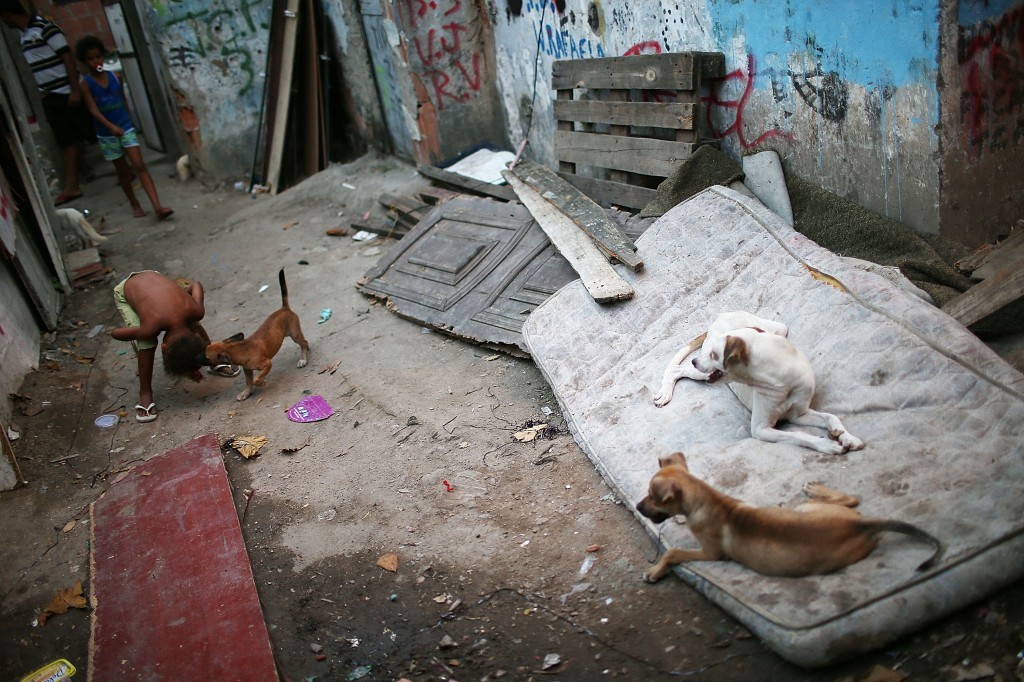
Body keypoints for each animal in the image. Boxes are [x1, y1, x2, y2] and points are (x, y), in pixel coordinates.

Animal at [204, 268, 309, 401]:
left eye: (207, 357)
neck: (237, 349)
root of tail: (284, 308)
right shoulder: (247, 370)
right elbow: (249, 382)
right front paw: (246, 392)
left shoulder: (267, 364)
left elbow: (256, 379)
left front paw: (262, 382)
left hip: (294, 334)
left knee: (304, 343)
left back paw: (303, 359)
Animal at [636, 452, 943, 581]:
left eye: (652, 496)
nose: (639, 508)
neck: (706, 497)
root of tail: (861, 524)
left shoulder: (712, 553)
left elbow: (673, 551)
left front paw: (655, 570)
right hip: (808, 509)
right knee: (851, 499)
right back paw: (815, 489)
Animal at [653, 311, 863, 455]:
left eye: (714, 354)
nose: (695, 361)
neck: (781, 383)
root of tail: (720, 317)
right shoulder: (761, 430)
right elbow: (798, 435)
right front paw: (826, 445)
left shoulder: (798, 414)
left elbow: (830, 417)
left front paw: (847, 437)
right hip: (703, 373)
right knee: (677, 370)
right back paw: (665, 392)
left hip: (779, 329)